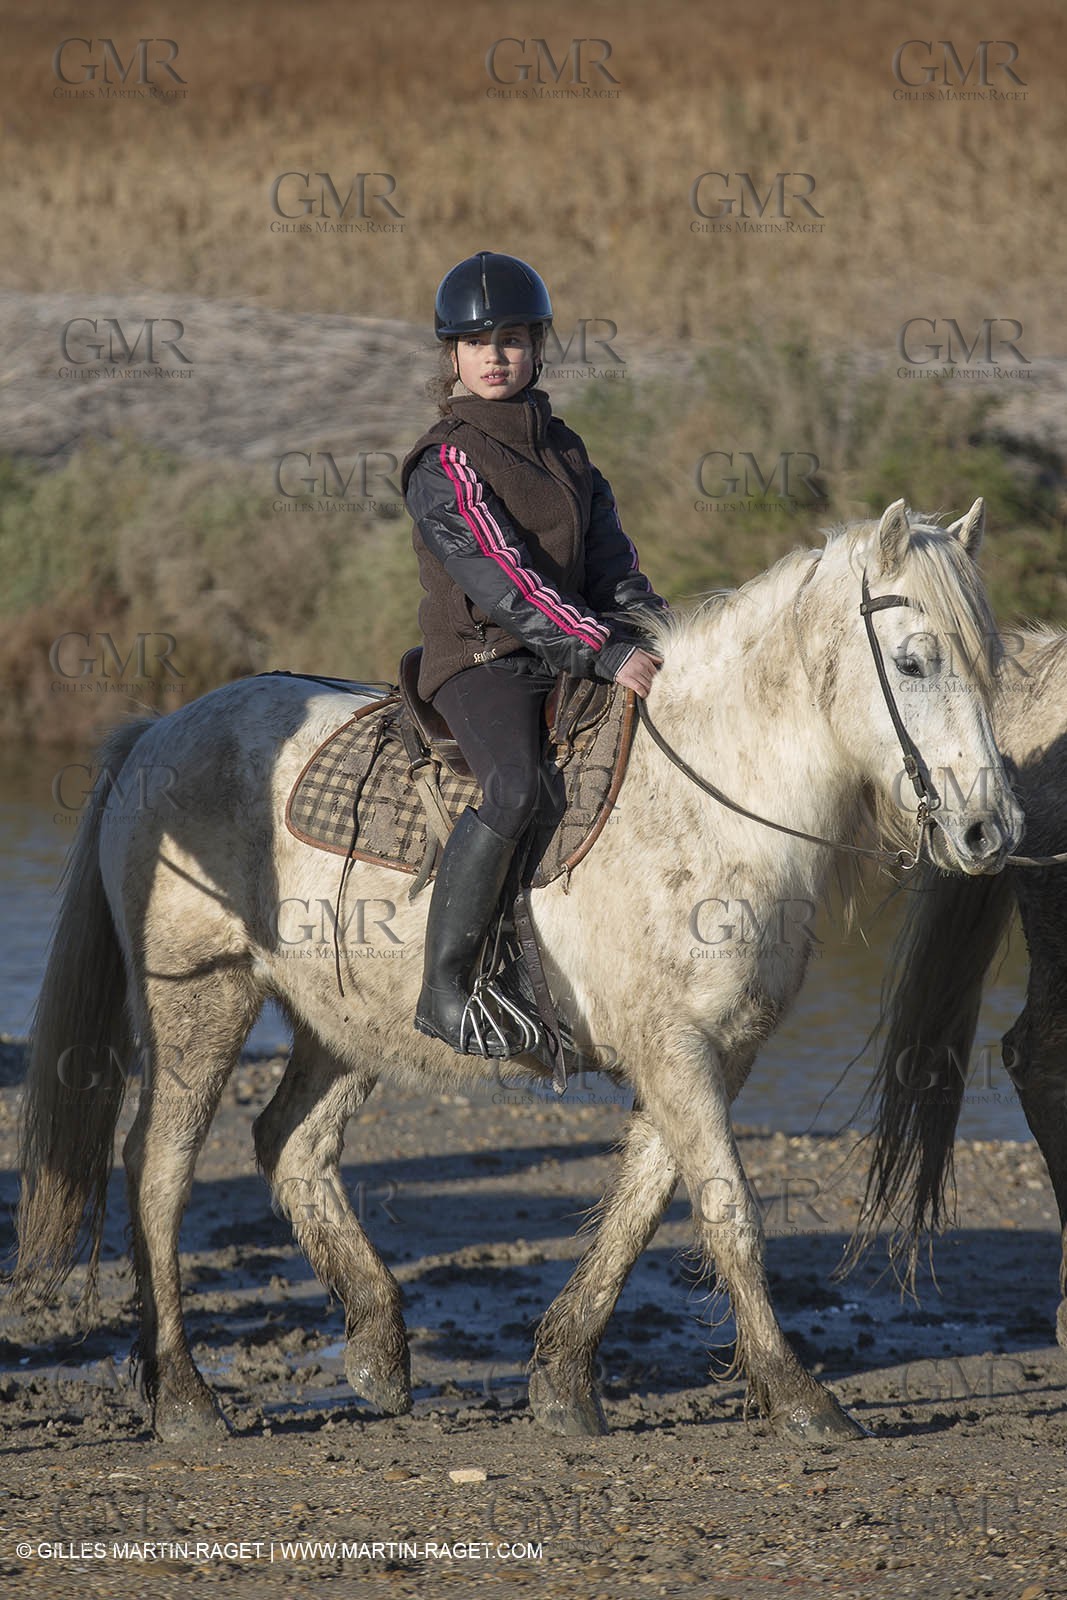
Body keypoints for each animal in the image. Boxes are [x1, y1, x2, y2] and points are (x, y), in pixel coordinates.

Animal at [11, 497, 1024, 1447]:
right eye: (914, 662)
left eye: (989, 663)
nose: (989, 831)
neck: (710, 799)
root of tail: (157, 731)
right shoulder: (675, 1048)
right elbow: (728, 1210)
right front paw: (799, 1396)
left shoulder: (708, 1052)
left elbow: (641, 1205)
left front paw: (564, 1377)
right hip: (201, 1002)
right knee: (158, 1169)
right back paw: (185, 1395)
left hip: (343, 1023)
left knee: (292, 1145)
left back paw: (377, 1349)